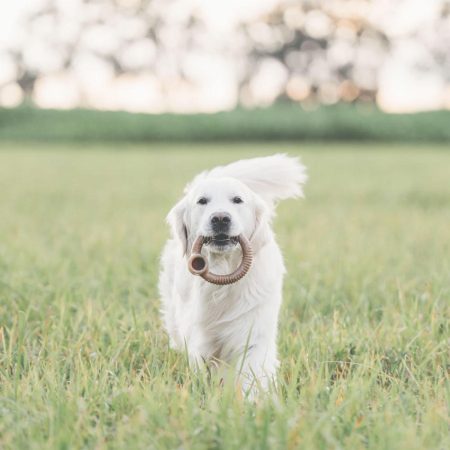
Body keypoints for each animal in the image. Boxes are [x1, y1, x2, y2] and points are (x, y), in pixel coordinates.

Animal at [157, 154, 306, 394]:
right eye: (202, 201)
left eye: (237, 200)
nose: (220, 218)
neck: (222, 275)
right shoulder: (201, 339)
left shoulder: (252, 331)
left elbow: (252, 372)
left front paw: (253, 399)